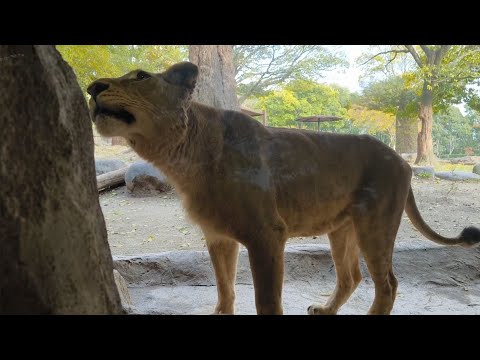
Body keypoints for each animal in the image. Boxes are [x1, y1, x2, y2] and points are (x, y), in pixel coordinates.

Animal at [88, 62, 478, 316]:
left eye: (140, 77)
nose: (92, 87)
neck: (182, 157)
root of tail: (402, 161)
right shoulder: (218, 236)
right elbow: (225, 288)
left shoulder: (267, 235)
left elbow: (266, 301)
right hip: (343, 229)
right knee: (351, 277)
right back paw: (325, 309)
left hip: (375, 225)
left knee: (388, 284)